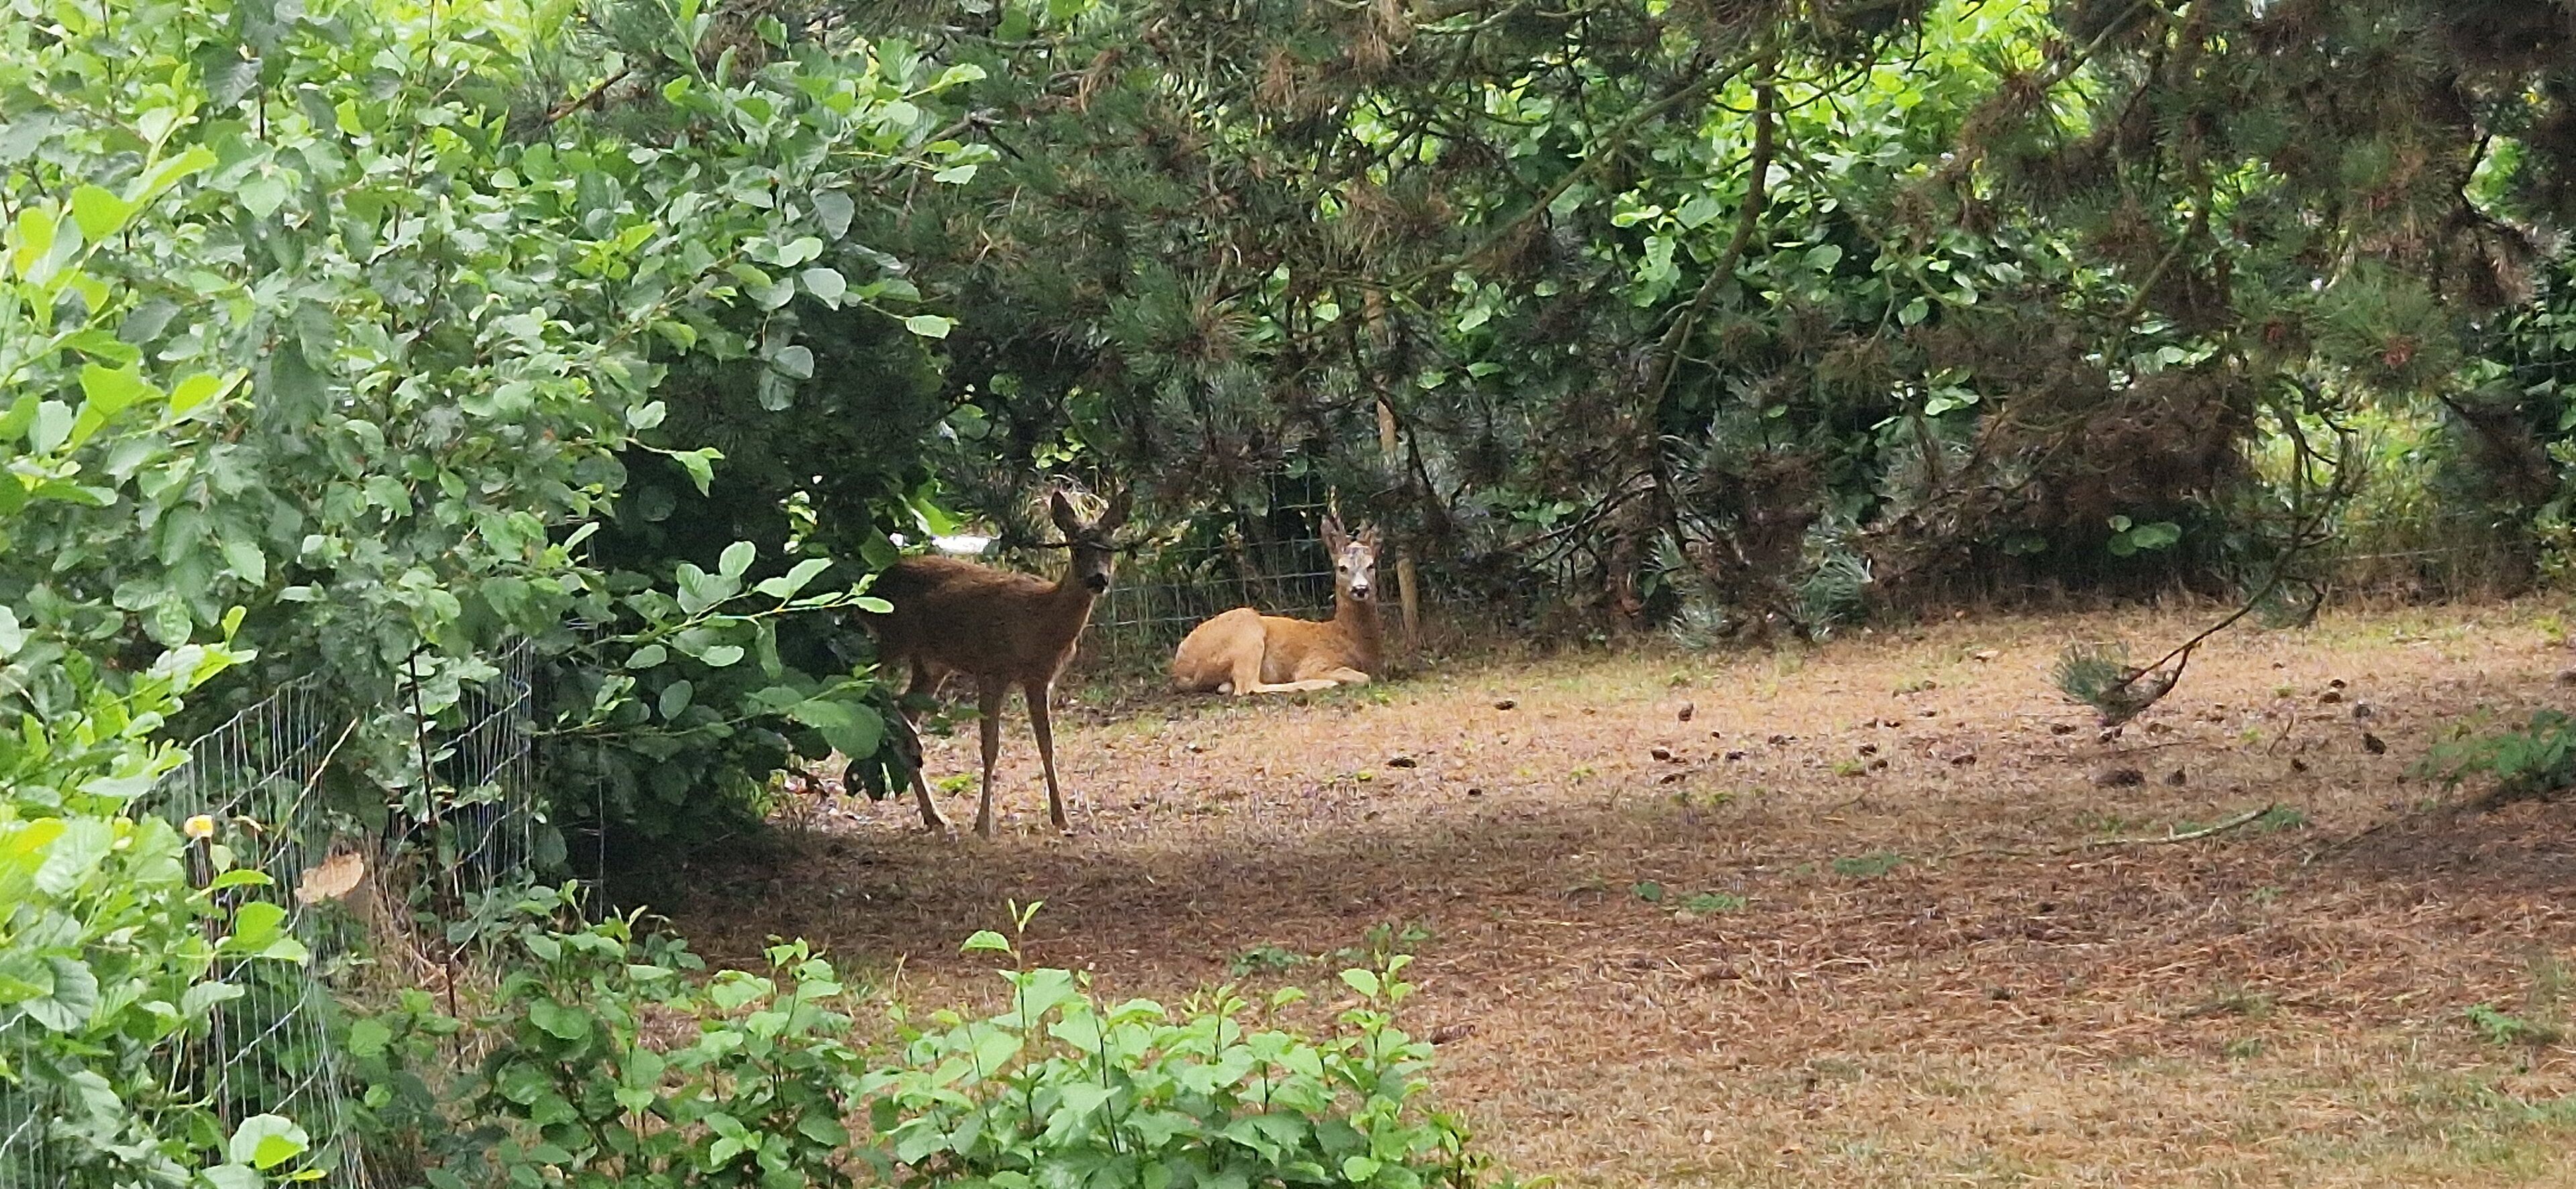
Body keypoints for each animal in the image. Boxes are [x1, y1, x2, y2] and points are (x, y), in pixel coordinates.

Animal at [862, 488, 1128, 837]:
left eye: (1110, 548)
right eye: (1075, 547)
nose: (1098, 579)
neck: (1039, 621)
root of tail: (875, 584)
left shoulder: (1040, 678)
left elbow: (1047, 744)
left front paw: (1060, 816)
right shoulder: (992, 669)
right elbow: (990, 747)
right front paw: (983, 823)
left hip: (930, 662)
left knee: (903, 711)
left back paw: (935, 816)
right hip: (891, 639)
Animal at [1169, 512, 1383, 695]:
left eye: (1371, 565)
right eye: (1342, 568)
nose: (1361, 589)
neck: (1348, 638)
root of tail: (1179, 671)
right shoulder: (1314, 663)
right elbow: (1363, 677)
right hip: (1246, 630)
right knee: (1247, 686)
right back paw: (1321, 684)